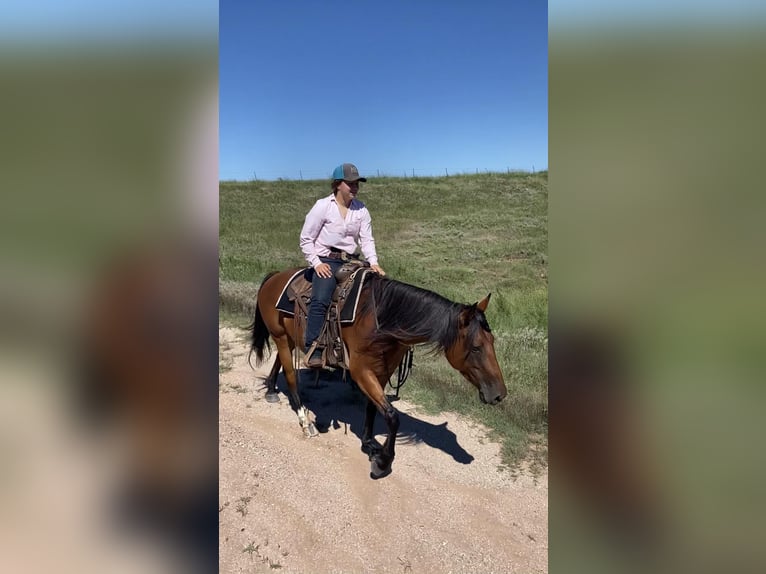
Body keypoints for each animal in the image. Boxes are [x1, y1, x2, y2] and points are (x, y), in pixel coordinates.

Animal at [249, 270, 510, 482]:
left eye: (492, 341)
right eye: (476, 347)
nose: (499, 394)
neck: (382, 319)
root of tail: (275, 276)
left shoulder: (384, 369)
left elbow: (374, 407)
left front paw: (368, 442)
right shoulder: (360, 369)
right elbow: (392, 416)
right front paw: (383, 461)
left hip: (289, 337)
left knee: (279, 362)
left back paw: (271, 389)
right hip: (282, 337)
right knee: (290, 375)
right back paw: (305, 420)